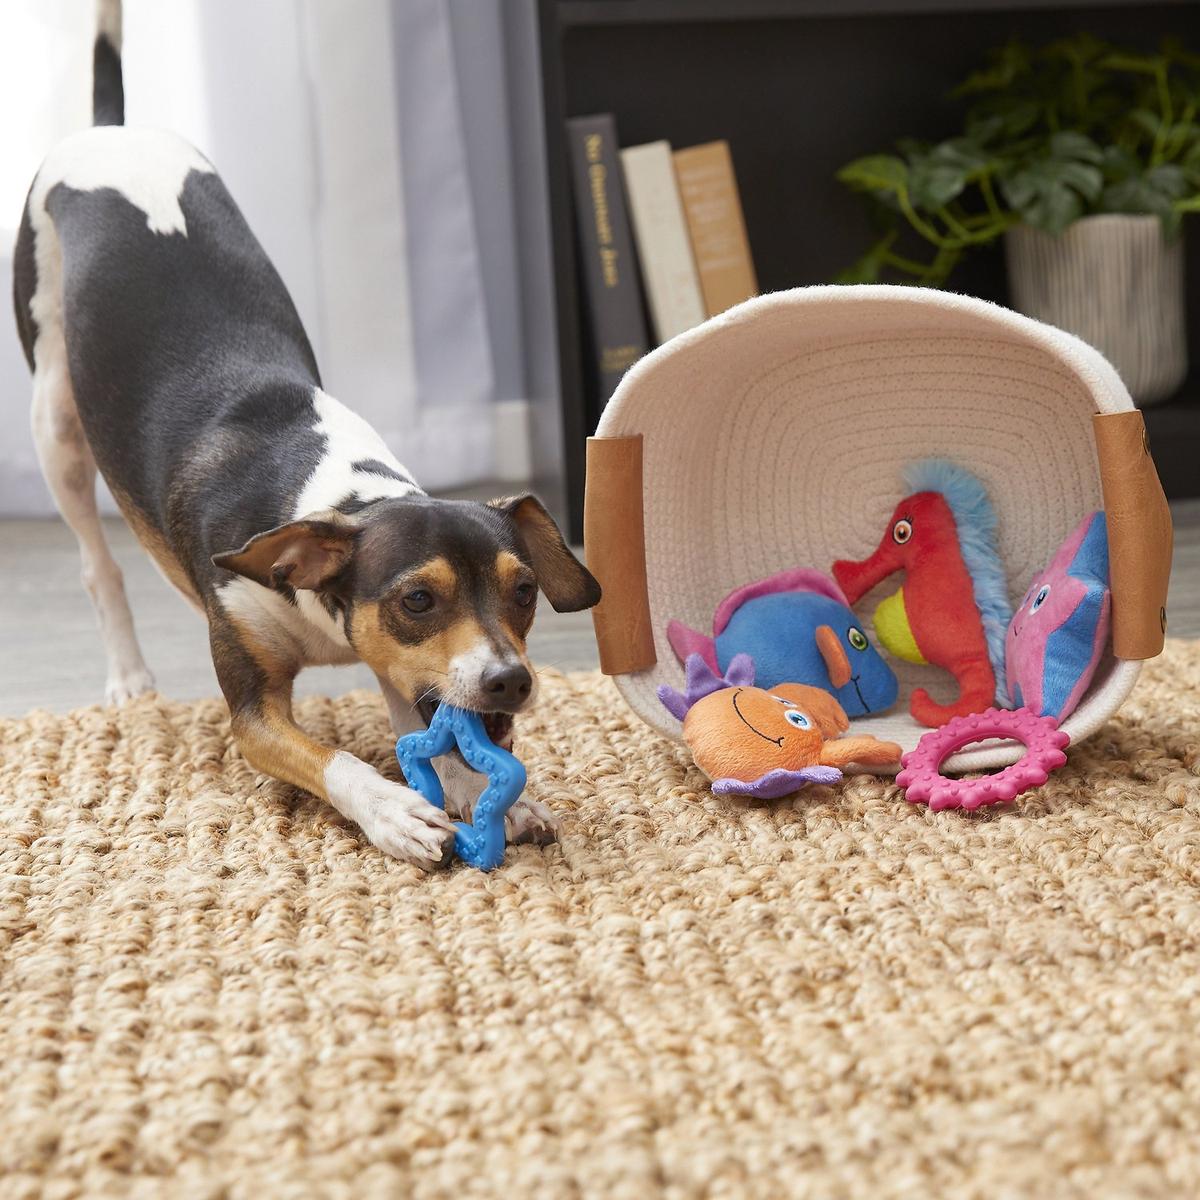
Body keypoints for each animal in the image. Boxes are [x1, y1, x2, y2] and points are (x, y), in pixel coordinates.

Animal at [11, 0, 600, 868]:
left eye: (524, 590)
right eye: (418, 598)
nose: (510, 682)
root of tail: (109, 129)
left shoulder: (402, 668)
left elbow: (434, 723)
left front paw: (479, 789)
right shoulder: (253, 710)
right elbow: (334, 759)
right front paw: (395, 811)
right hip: (55, 419)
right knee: (97, 565)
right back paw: (128, 675)